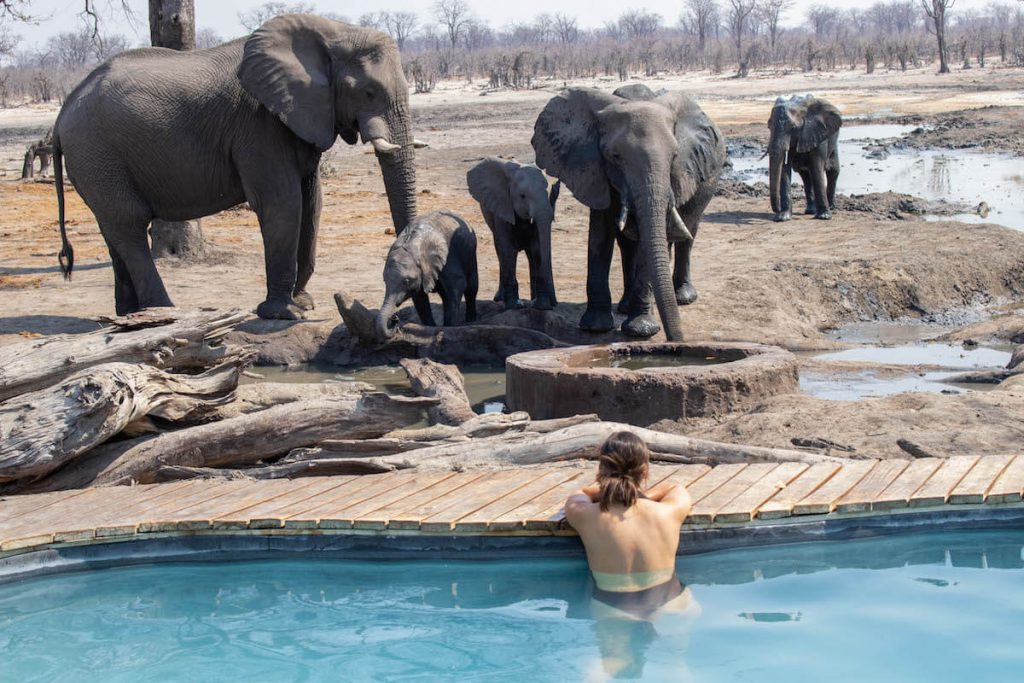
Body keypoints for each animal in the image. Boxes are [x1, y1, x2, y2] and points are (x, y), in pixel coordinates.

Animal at [50, 15, 419, 321]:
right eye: (369, 92)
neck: (332, 31)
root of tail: (63, 112)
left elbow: (312, 203)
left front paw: (303, 303)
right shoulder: (259, 123)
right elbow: (283, 204)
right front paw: (284, 314)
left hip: (95, 161)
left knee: (113, 229)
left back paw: (129, 314)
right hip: (96, 151)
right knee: (130, 225)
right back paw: (165, 313)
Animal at [376, 206, 479, 337]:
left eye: (406, 281)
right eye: (385, 281)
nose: (395, 319)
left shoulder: (448, 258)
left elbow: (458, 286)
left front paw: (449, 327)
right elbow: (420, 299)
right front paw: (430, 327)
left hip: (470, 250)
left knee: (471, 287)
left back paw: (471, 320)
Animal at [466, 157, 561, 309]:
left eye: (551, 196)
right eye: (522, 196)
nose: (554, 304)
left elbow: (538, 249)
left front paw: (541, 306)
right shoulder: (503, 206)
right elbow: (508, 249)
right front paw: (514, 305)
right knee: (500, 250)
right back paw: (500, 298)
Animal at [528, 87, 729, 339]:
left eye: (674, 156)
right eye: (615, 156)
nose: (678, 341)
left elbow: (647, 241)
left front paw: (641, 330)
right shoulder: (596, 171)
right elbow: (600, 237)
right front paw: (595, 327)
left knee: (688, 230)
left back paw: (682, 297)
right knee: (628, 244)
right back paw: (625, 306)